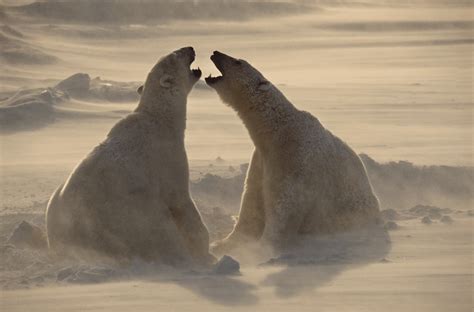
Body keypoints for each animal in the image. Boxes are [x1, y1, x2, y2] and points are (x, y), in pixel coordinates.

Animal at [45, 47, 213, 266]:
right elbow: (181, 202)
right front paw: (203, 249)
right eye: (175, 55)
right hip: (123, 215)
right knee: (157, 228)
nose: (190, 48)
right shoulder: (167, 159)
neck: (160, 119)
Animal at [207, 51, 382, 255]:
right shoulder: (261, 160)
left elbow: (284, 205)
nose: (215, 53)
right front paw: (222, 244)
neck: (278, 130)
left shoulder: (293, 158)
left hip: (352, 212)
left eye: (237, 62)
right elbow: (251, 203)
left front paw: (262, 248)